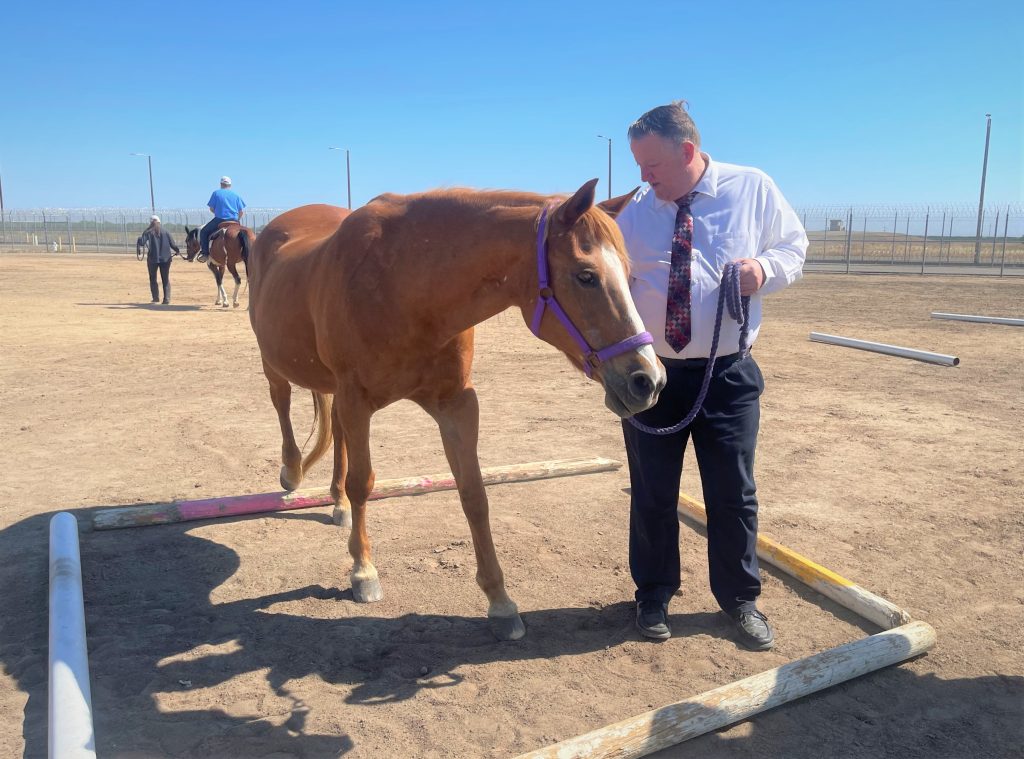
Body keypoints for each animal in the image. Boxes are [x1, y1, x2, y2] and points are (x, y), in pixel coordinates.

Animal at [248, 179, 666, 640]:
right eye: (586, 276)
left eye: (628, 274)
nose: (648, 380)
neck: (404, 285)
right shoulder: (357, 400)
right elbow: (363, 484)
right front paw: (363, 571)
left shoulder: (457, 403)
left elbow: (473, 493)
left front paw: (500, 601)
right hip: (275, 364)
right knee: (282, 403)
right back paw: (292, 472)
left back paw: (336, 503)